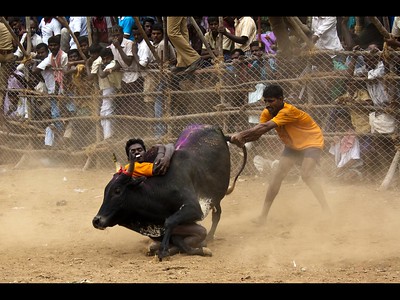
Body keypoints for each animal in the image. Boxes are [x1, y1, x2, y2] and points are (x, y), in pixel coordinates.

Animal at [93, 124, 247, 260]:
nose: (96, 220)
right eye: (106, 190)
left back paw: (210, 237)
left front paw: (165, 250)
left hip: (216, 196)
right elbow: (174, 239)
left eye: (117, 190)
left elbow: (170, 222)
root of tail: (217, 129)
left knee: (217, 214)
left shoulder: (193, 208)